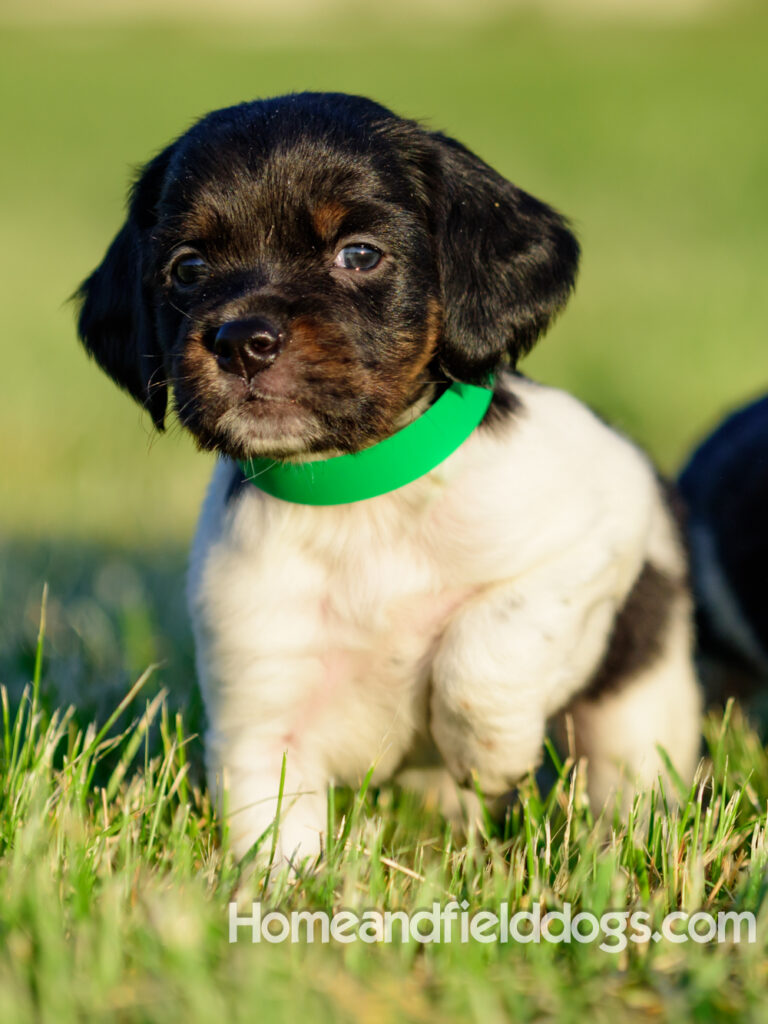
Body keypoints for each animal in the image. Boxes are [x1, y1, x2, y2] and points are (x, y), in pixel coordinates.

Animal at [76, 94, 704, 864]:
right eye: (187, 267)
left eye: (360, 254)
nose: (241, 342)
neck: (360, 499)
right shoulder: (262, 712)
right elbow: (277, 839)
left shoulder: (601, 522)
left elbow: (488, 644)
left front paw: (488, 751)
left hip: (640, 709)